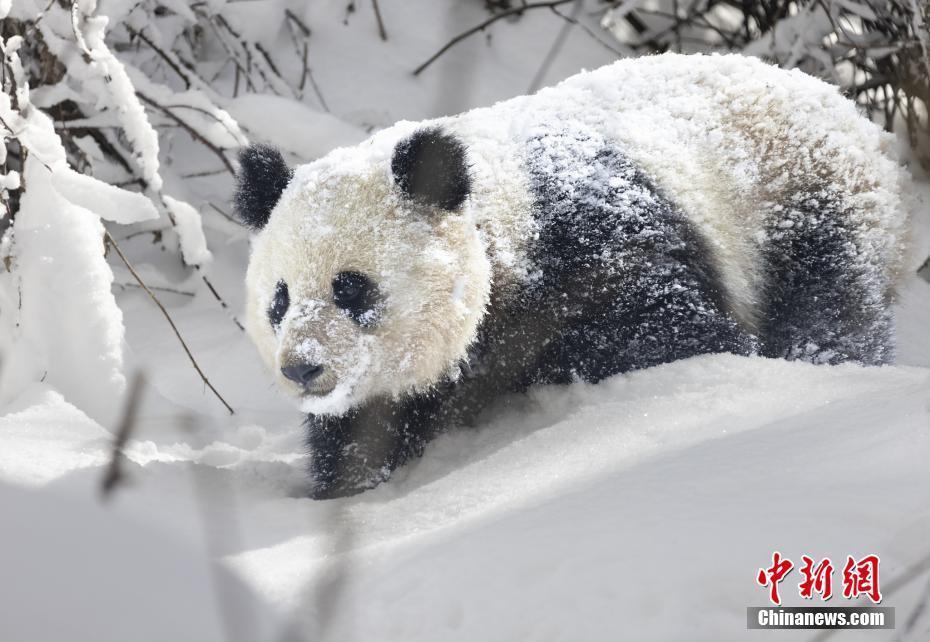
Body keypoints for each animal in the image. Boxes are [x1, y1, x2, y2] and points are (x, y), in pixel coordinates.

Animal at [232, 52, 908, 498]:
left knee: (829, 302)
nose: (303, 369)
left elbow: (675, 336)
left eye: (352, 288)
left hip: (800, 194)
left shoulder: (596, 237)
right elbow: (364, 436)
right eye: (279, 301)